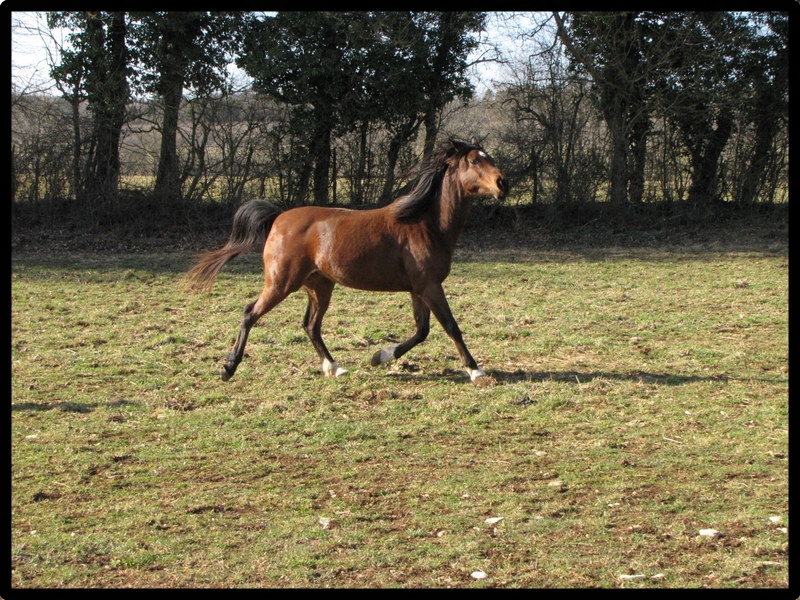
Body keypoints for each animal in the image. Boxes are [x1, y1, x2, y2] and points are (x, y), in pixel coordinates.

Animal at [186, 139, 506, 384]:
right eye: (475, 161)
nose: (502, 183)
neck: (426, 224)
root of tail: (278, 217)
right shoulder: (429, 286)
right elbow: (450, 325)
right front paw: (476, 371)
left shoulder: (420, 288)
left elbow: (421, 330)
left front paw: (380, 356)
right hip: (281, 283)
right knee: (250, 313)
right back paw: (228, 368)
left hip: (319, 285)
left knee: (311, 326)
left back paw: (334, 368)